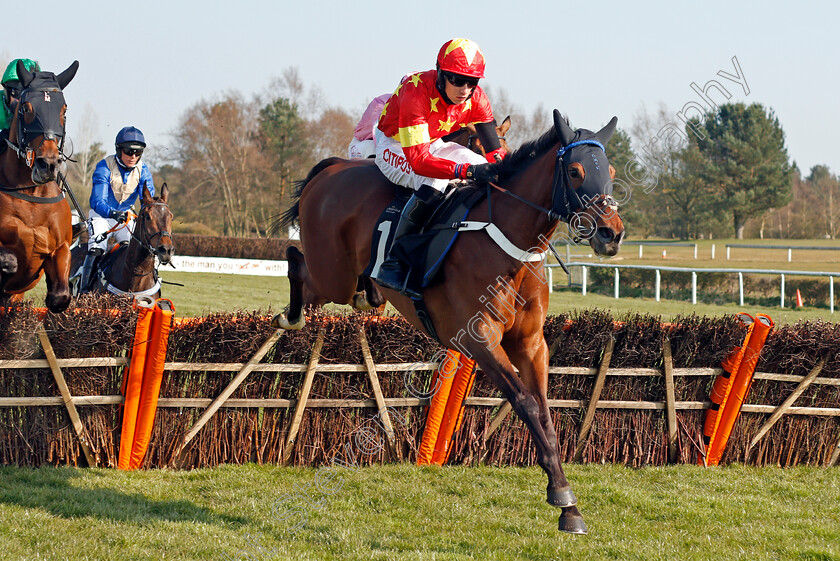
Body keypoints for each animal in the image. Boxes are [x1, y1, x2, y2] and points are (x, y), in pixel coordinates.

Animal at [0, 62, 79, 316]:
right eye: (26, 108)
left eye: (63, 110)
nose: (48, 164)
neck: (31, 194)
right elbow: (9, 260)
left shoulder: (61, 247)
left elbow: (60, 297)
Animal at [276, 110, 624, 532]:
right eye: (574, 172)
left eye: (610, 170)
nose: (611, 234)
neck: (509, 240)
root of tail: (333, 167)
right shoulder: (479, 338)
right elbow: (525, 404)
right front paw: (561, 495)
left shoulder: (531, 343)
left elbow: (544, 412)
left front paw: (567, 505)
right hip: (333, 274)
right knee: (298, 262)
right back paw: (290, 316)